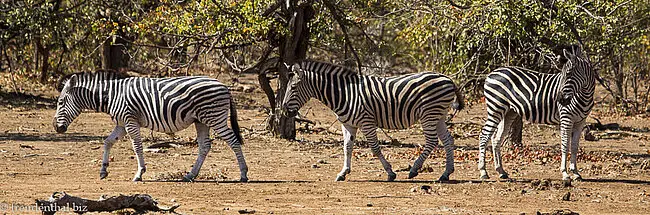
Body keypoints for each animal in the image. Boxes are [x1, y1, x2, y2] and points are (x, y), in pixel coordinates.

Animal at [50, 71, 247, 182]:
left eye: (60, 102)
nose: (56, 128)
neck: (110, 96)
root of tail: (225, 86)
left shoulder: (130, 120)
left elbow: (137, 146)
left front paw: (139, 173)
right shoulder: (121, 123)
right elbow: (107, 142)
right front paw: (103, 170)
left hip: (214, 117)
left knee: (233, 140)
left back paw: (244, 174)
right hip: (201, 120)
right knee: (205, 146)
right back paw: (190, 175)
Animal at [280, 60, 464, 181]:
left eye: (293, 87)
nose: (284, 111)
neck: (345, 94)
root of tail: (448, 78)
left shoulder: (366, 122)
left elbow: (375, 148)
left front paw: (390, 173)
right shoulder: (348, 124)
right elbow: (347, 148)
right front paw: (343, 172)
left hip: (428, 114)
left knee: (432, 141)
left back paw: (413, 169)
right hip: (438, 115)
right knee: (448, 140)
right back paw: (446, 173)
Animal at [476, 47, 592, 181]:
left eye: (568, 74)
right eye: (562, 75)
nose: (560, 100)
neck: (584, 95)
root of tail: (491, 73)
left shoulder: (580, 122)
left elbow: (574, 147)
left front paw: (576, 173)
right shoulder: (566, 118)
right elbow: (565, 145)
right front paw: (565, 173)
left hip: (508, 112)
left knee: (496, 139)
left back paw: (501, 171)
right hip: (495, 108)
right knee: (484, 136)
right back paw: (483, 171)